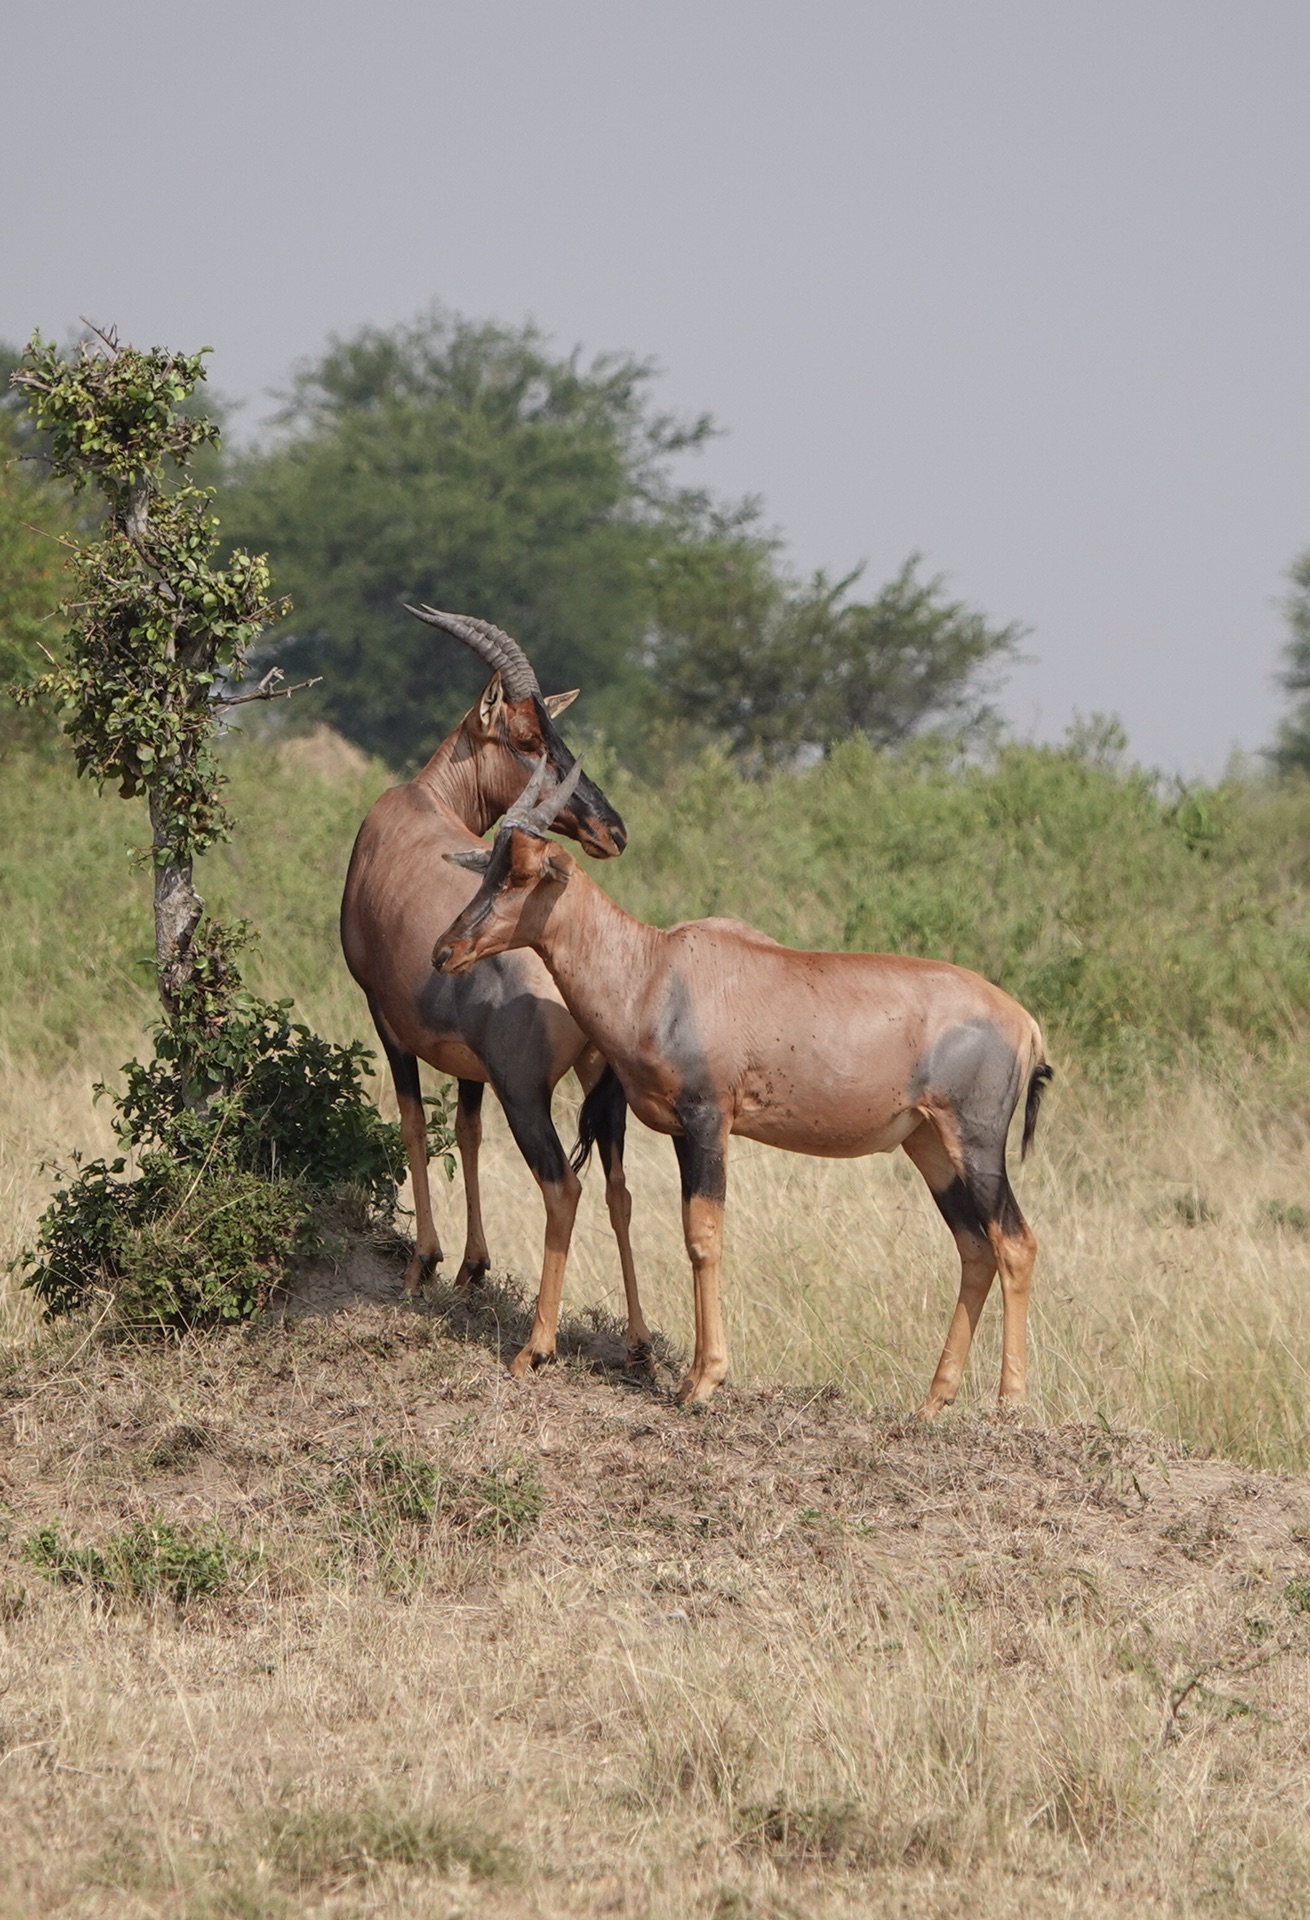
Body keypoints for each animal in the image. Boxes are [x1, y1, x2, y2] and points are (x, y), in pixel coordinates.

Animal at [339, 610, 649, 1367]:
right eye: (532, 740)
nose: (614, 830)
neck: (415, 806)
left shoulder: (386, 1019)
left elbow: (414, 1122)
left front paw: (425, 1263)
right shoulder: (467, 1060)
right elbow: (467, 1131)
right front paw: (473, 1268)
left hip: (525, 1092)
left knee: (563, 1185)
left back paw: (536, 1347)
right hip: (606, 1091)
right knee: (618, 1188)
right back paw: (638, 1341)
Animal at [437, 760, 1052, 1413]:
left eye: (523, 873)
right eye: (490, 866)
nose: (445, 951)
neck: (658, 968)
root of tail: (1024, 1022)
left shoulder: (710, 1119)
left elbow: (706, 1237)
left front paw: (704, 1380)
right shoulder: (683, 1130)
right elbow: (691, 1237)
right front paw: (694, 1375)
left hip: (976, 1142)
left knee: (1015, 1243)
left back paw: (1010, 1405)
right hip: (928, 1144)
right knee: (975, 1248)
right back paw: (934, 1402)